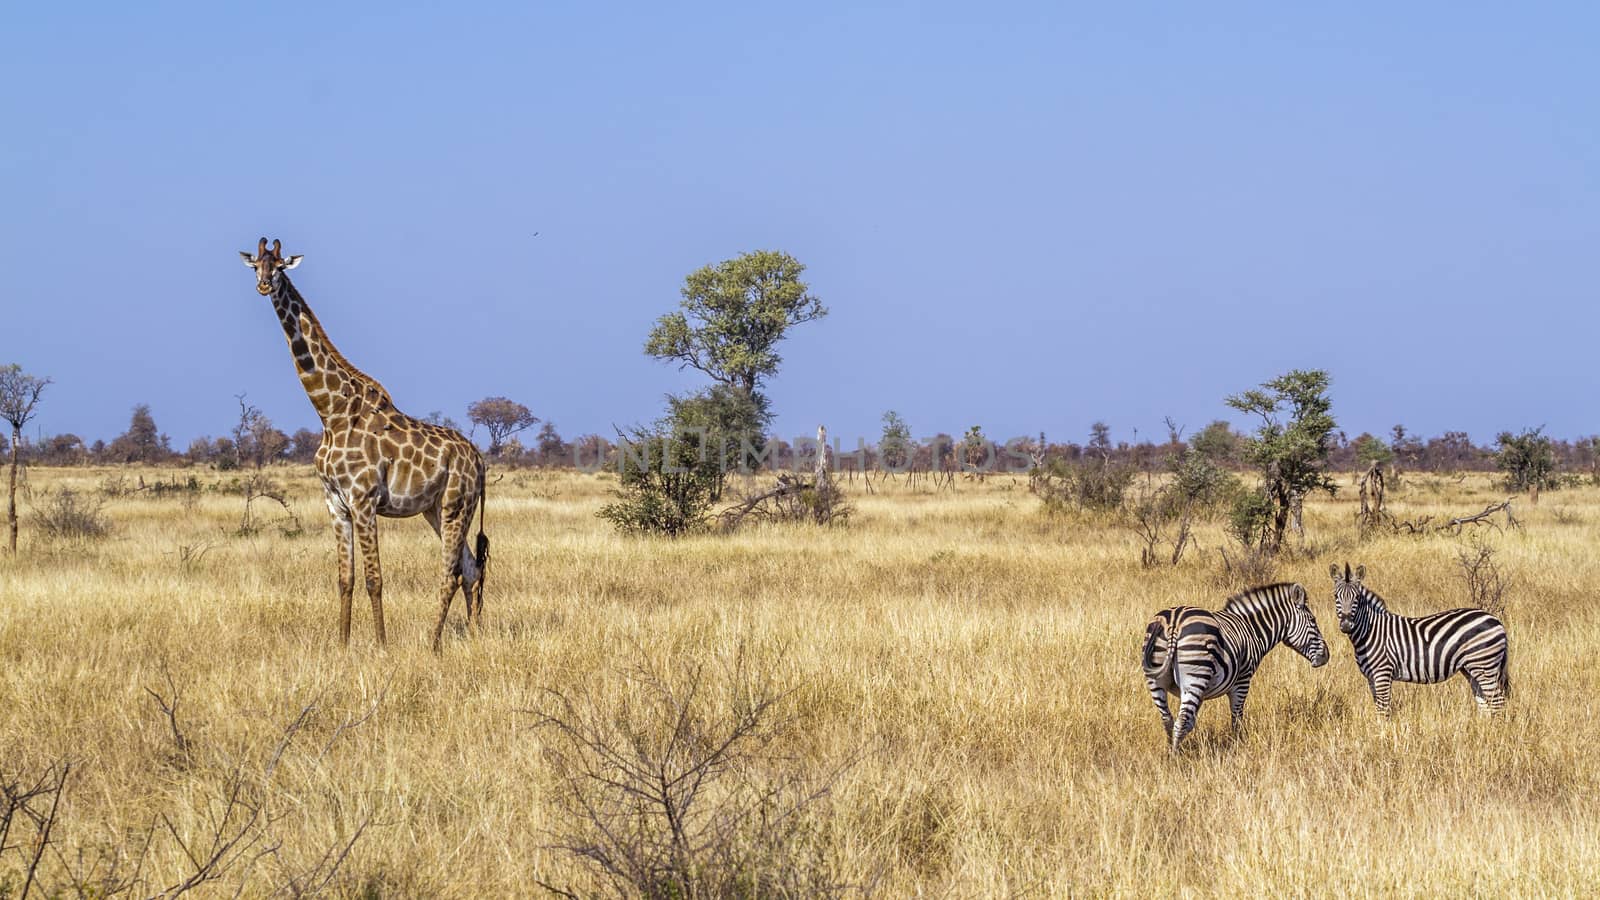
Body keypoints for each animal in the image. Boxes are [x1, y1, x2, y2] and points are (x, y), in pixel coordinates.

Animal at [236, 235, 486, 646]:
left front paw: (381, 645)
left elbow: (374, 579)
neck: (331, 412)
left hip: (456, 506)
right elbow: (345, 579)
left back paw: (434, 643)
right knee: (470, 568)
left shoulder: (364, 500)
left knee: (452, 572)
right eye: (257, 265)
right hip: (436, 509)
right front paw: (342, 643)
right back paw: (474, 634)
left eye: (281, 266)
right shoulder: (335, 502)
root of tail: (480, 460)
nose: (263, 285)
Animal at [1145, 582, 1331, 749]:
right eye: (1313, 621)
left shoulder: (1202, 692)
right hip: (1196, 676)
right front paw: (1238, 746)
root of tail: (1174, 622)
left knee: (1168, 720)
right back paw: (1176, 758)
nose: (1326, 656)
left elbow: (1192, 721)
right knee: (1180, 722)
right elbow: (1237, 718)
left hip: (1156, 681)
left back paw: (1171, 752)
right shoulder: (1242, 681)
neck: (1252, 630)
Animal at [1331, 560, 1504, 714]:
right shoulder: (1371, 677)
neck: (1370, 632)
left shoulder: (1383, 673)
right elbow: (1378, 708)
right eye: (1336, 597)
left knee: (1498, 703)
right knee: (1485, 704)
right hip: (1471, 669)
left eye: (1357, 598)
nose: (1346, 625)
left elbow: (1383, 710)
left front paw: (1383, 730)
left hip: (1485, 665)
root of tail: (1495, 619)